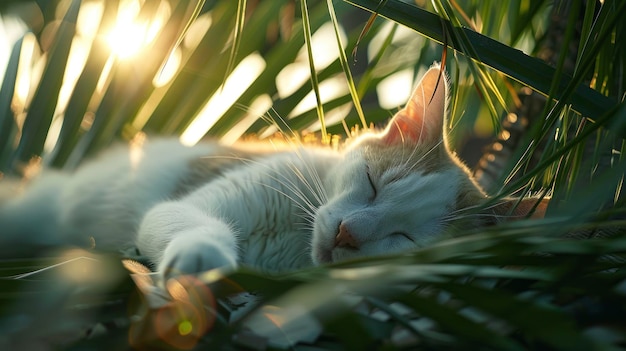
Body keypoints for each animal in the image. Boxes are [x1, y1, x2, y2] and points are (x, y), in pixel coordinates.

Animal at [0, 63, 544, 278]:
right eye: (372, 184)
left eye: (407, 239)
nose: (347, 234)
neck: (294, 235)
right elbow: (183, 219)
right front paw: (202, 256)